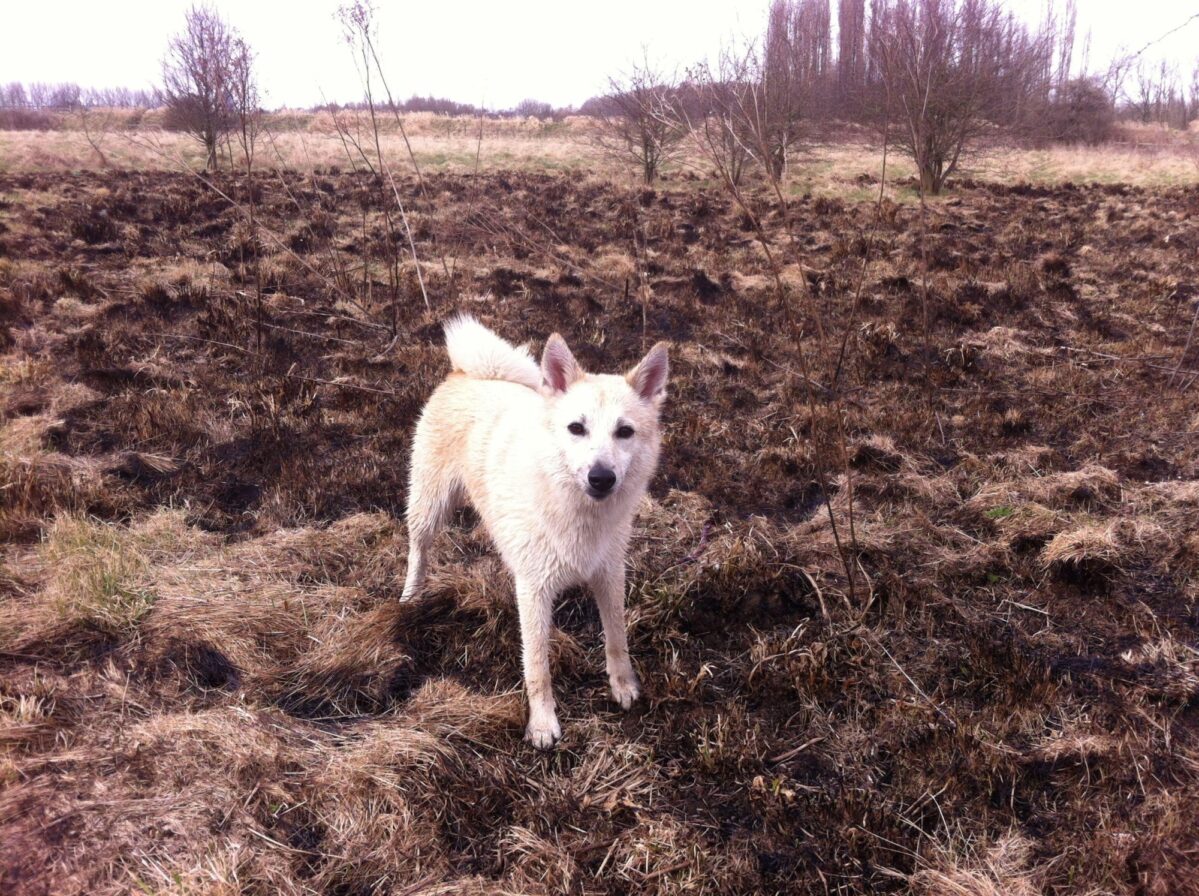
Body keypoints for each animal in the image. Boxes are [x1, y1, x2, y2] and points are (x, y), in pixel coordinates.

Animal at [400, 314, 666, 748]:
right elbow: (538, 666)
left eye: (624, 432)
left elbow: (617, 639)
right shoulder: (534, 591)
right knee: (418, 550)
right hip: (429, 506)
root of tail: (466, 372)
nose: (601, 477)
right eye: (576, 428)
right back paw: (410, 596)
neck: (579, 512)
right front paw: (542, 724)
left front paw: (623, 686)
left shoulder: (610, 576)